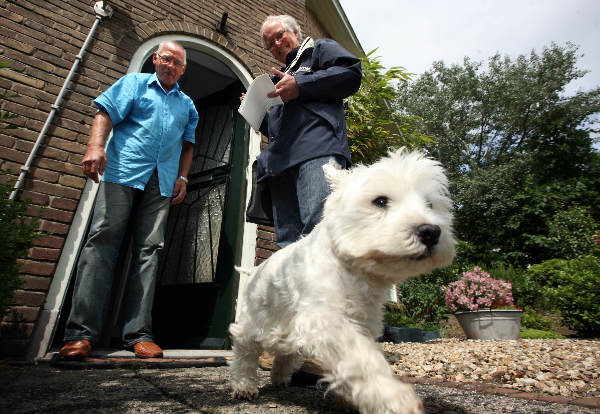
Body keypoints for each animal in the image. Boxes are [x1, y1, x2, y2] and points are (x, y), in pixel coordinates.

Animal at [230, 149, 454, 414]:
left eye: (430, 204)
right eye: (380, 201)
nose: (431, 232)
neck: (355, 270)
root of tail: (254, 269)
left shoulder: (361, 322)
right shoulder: (326, 321)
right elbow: (361, 358)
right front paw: (394, 398)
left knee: (286, 353)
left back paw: (280, 378)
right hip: (254, 321)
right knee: (245, 351)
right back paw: (244, 386)